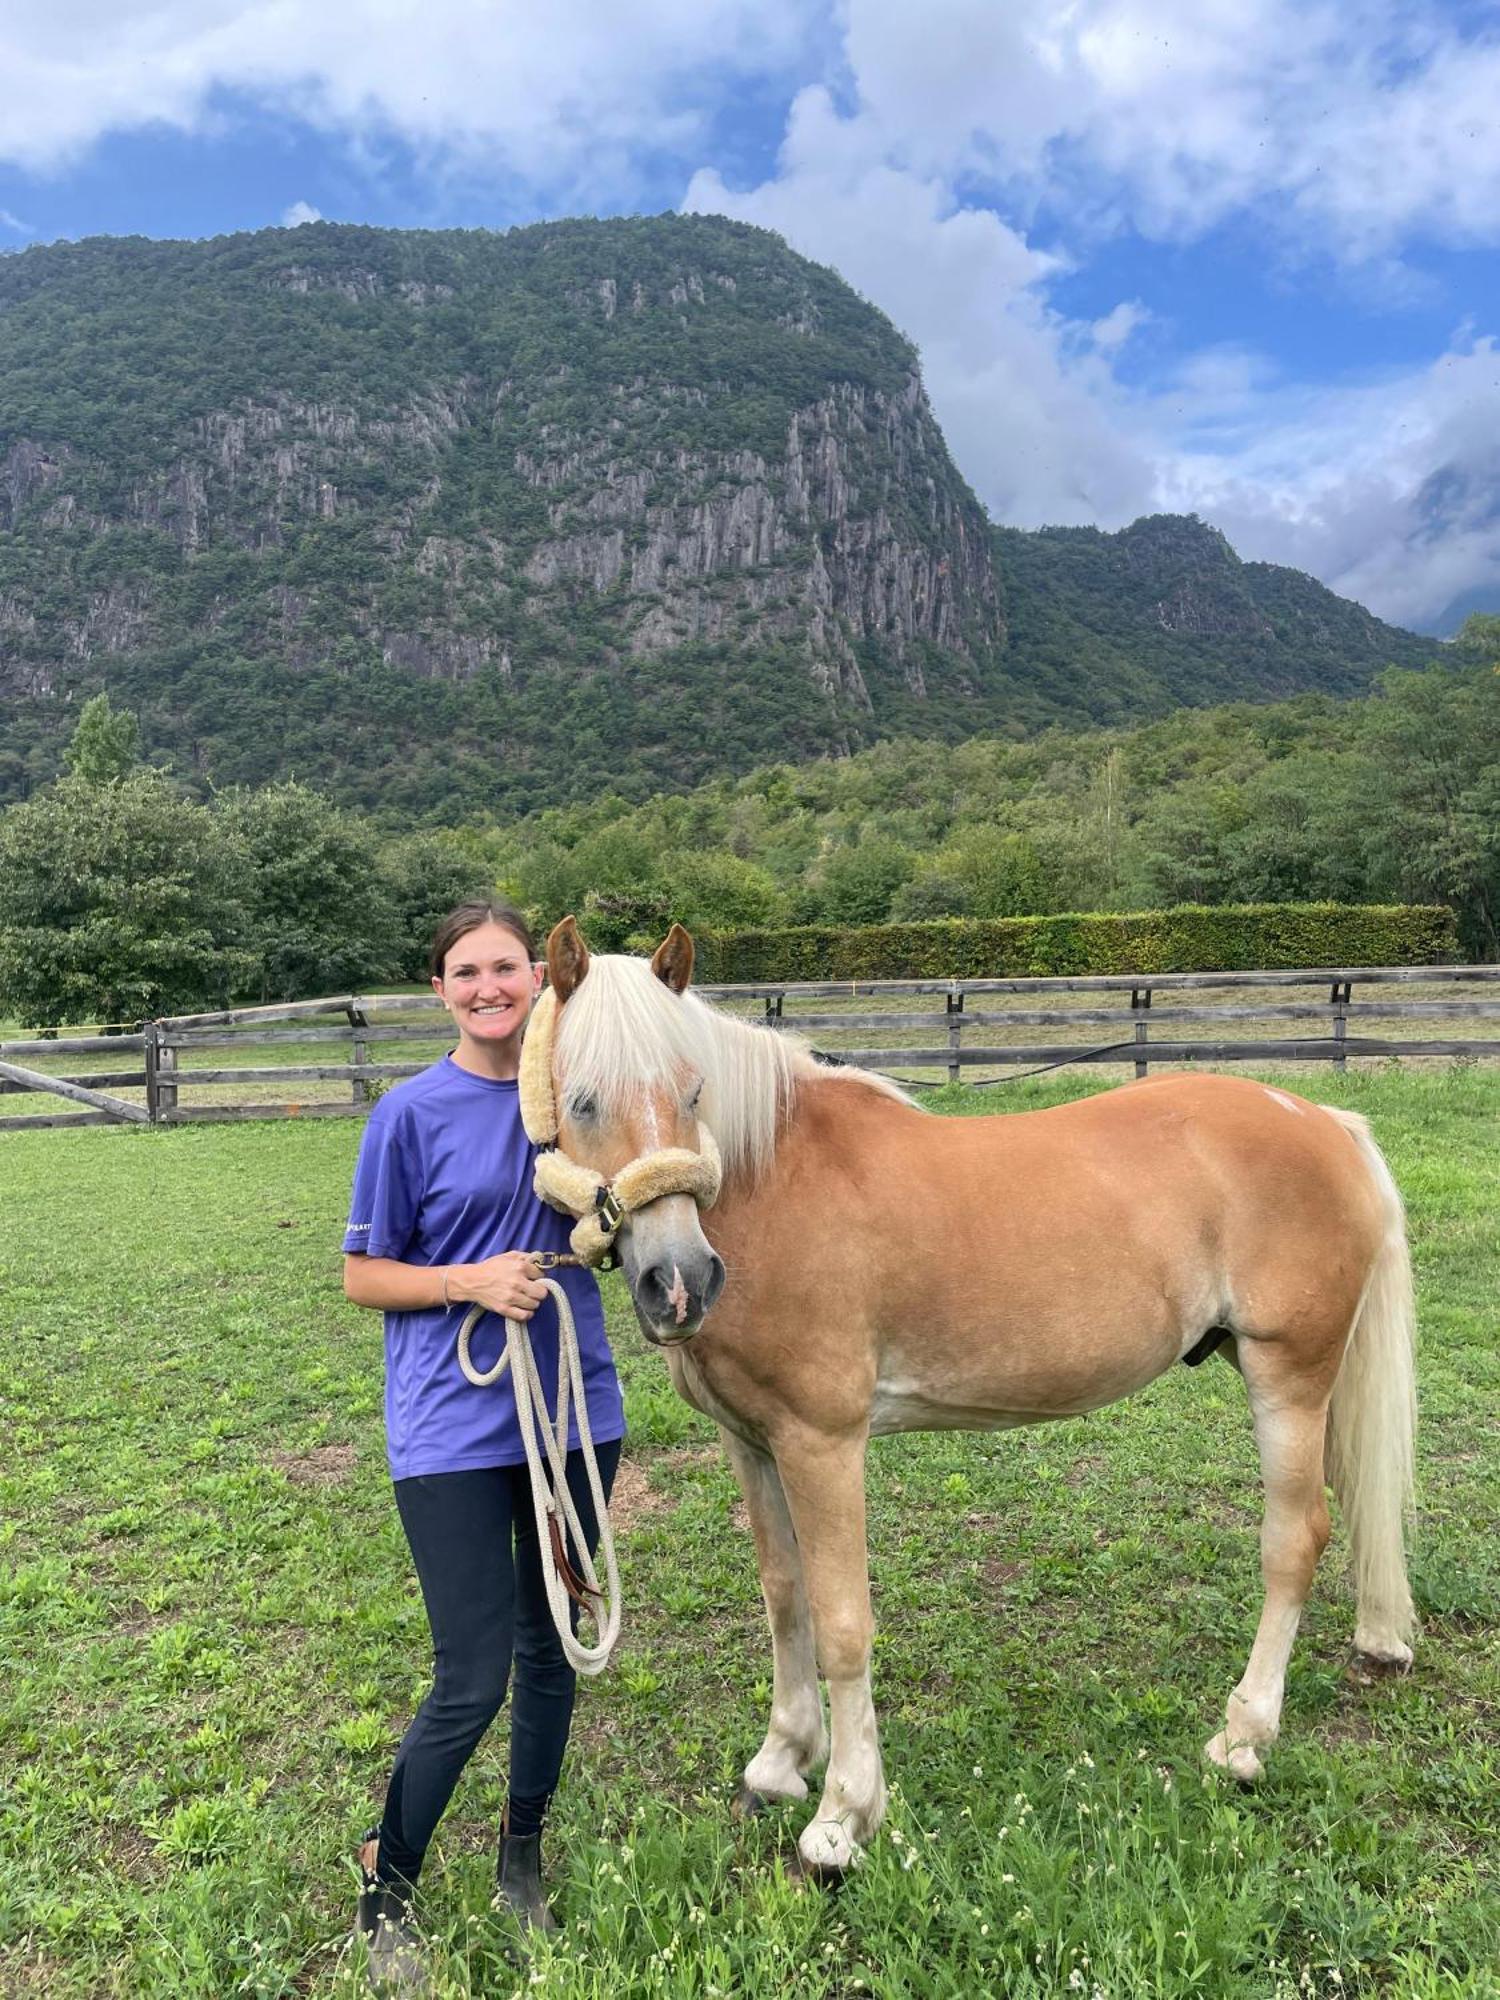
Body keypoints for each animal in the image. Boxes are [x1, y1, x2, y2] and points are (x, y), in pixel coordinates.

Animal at [540, 916, 1424, 1872]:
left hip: (1285, 1373)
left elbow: (842, 1621)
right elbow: (785, 1598)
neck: (767, 1182)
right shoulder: (752, 1441)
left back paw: (1245, 1738)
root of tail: (1324, 1120)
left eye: (695, 1090)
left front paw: (844, 1816)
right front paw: (780, 1762)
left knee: (1295, 1539)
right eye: (581, 1101)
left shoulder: (822, 1441)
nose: (679, 1284)